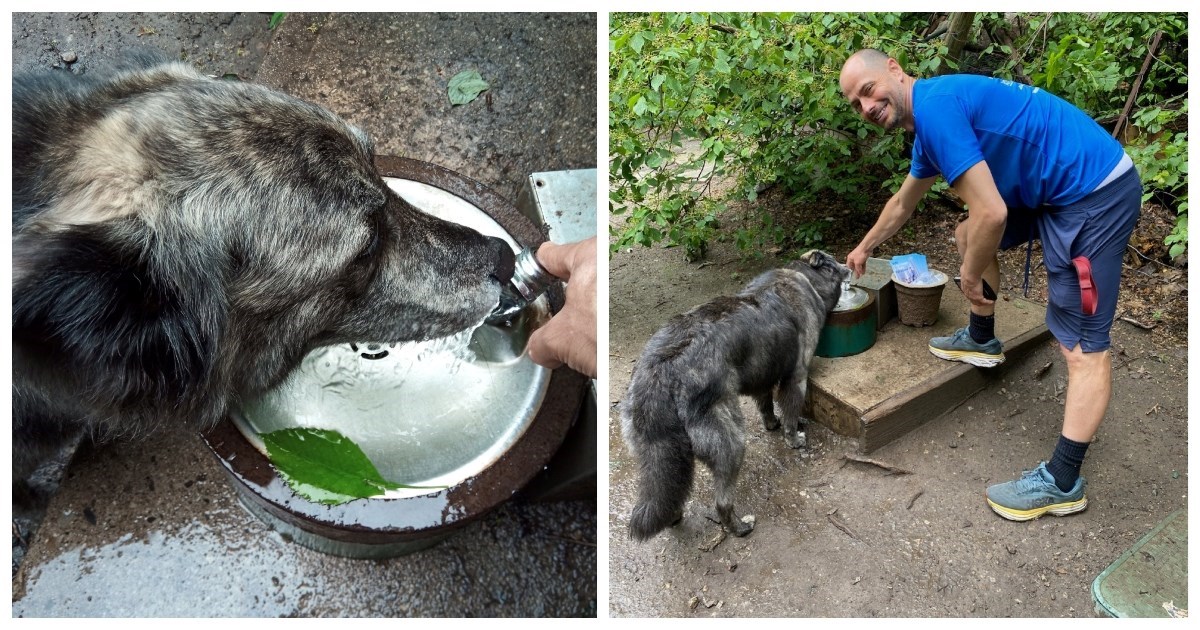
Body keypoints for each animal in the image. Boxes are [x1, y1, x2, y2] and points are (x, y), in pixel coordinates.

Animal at [624, 250, 849, 540]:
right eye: (834, 262)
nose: (849, 266)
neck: (804, 277)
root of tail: (661, 370)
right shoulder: (797, 376)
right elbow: (790, 412)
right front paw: (794, 438)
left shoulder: (763, 378)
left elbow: (766, 405)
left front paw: (772, 424)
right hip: (731, 443)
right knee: (721, 501)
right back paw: (740, 527)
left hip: (658, 454)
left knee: (668, 491)